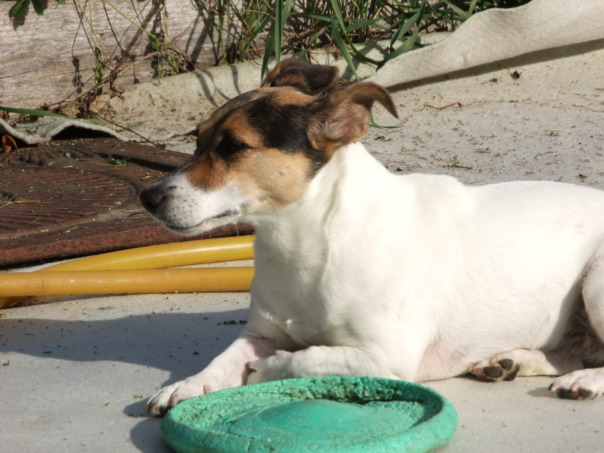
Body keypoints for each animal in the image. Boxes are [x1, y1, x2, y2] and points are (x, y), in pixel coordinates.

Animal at [140, 58, 604, 416]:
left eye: (233, 147)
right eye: (197, 139)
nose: (148, 196)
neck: (310, 244)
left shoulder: (386, 356)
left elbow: (309, 357)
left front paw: (271, 368)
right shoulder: (260, 333)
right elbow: (225, 357)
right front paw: (187, 385)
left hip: (595, 284)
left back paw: (584, 380)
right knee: (569, 352)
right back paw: (510, 360)